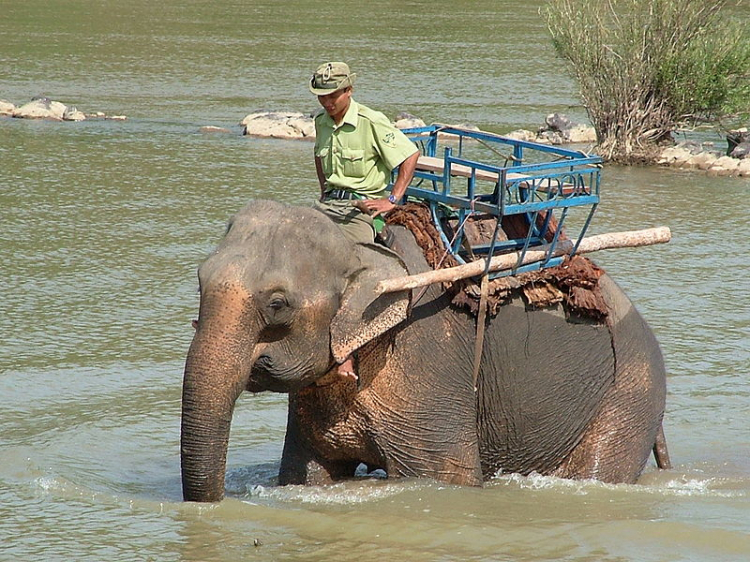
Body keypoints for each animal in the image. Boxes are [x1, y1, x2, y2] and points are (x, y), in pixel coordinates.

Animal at [181, 196, 668, 498]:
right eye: (199, 281)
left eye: (278, 305)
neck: (361, 248)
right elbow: (312, 471)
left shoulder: (429, 356)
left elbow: (444, 477)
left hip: (629, 393)